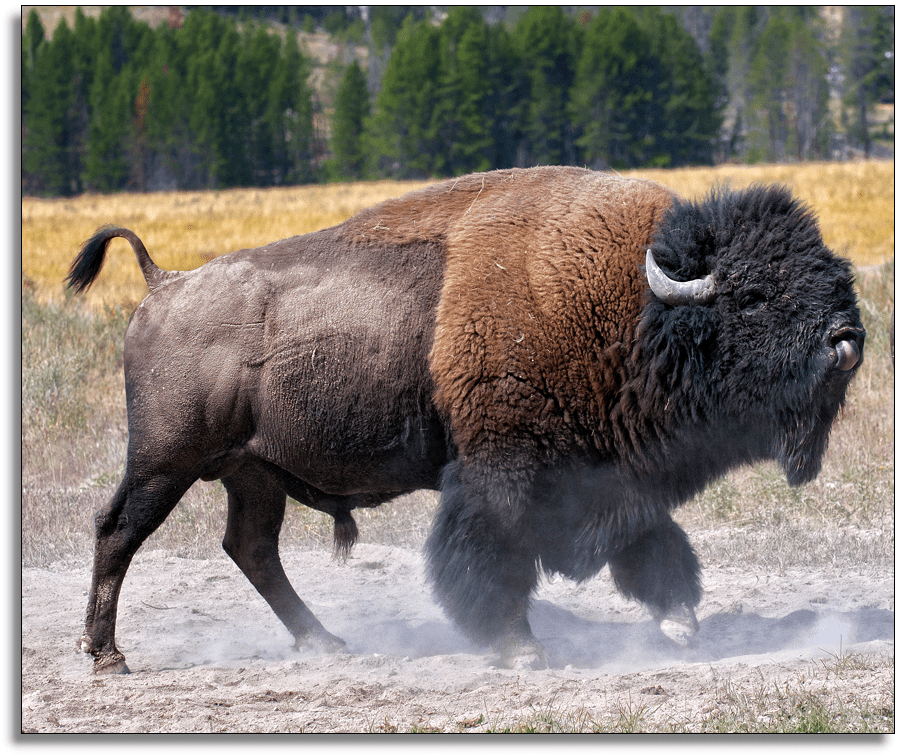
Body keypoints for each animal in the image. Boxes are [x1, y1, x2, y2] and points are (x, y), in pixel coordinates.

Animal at [67, 167, 864, 673]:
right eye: (753, 295)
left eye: (833, 272)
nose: (846, 338)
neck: (635, 308)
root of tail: (163, 285)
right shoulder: (501, 469)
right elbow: (493, 553)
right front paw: (519, 649)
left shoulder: (612, 478)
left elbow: (651, 543)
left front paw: (678, 624)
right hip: (166, 461)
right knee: (119, 531)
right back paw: (109, 658)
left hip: (252, 473)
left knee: (251, 549)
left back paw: (324, 644)